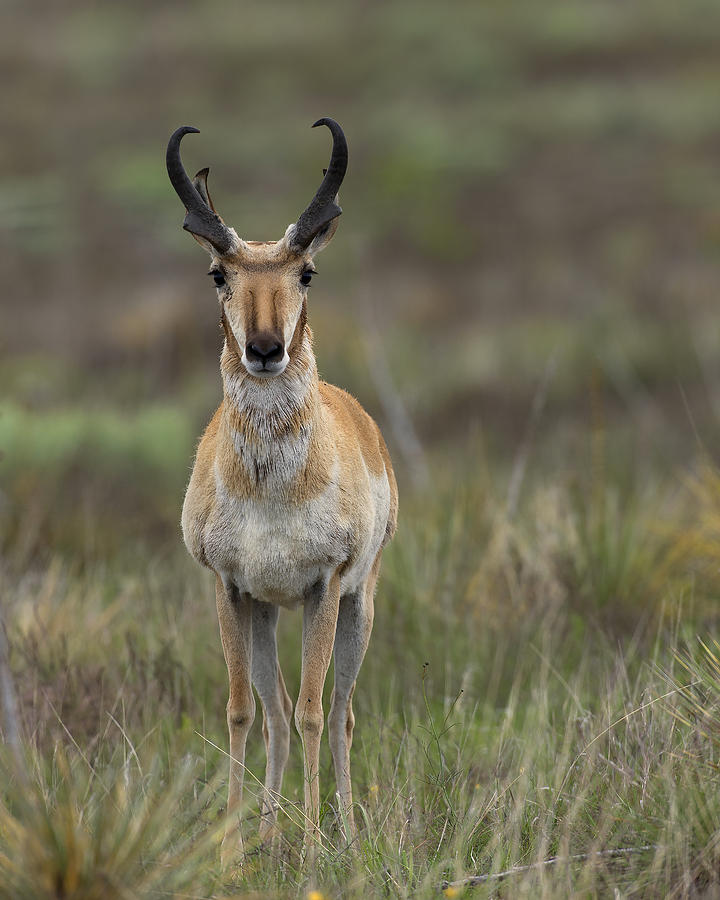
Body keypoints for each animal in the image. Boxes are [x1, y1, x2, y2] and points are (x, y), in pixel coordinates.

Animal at [165, 119, 396, 864]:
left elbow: (313, 714)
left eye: (306, 272)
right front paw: (231, 849)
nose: (266, 349)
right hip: (268, 613)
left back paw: (345, 832)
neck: (271, 491)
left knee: (340, 712)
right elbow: (244, 710)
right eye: (219, 274)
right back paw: (267, 831)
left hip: (358, 607)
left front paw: (321, 847)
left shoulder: (323, 588)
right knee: (271, 712)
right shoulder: (230, 589)